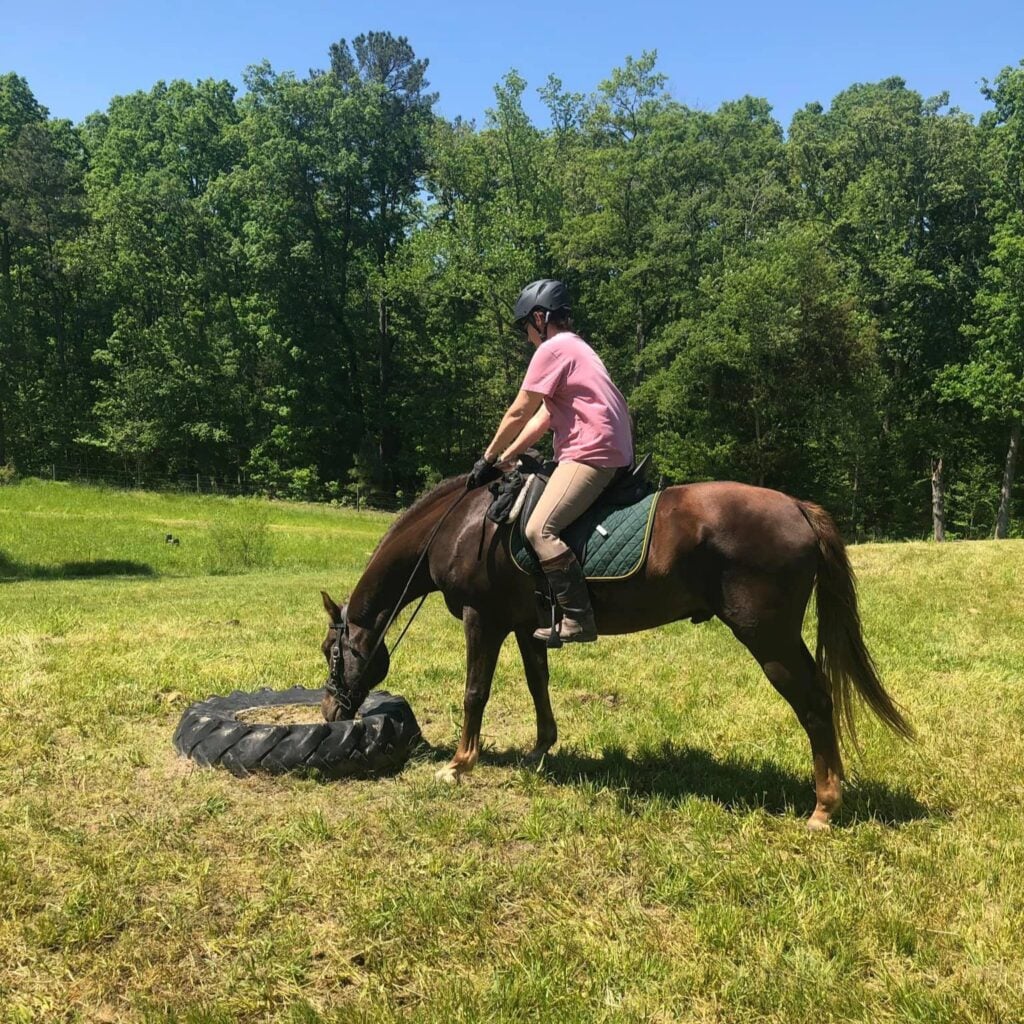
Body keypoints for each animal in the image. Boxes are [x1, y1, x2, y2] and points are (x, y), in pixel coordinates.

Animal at [319, 474, 913, 831]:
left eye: (331, 651)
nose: (328, 713)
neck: (464, 526)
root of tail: (797, 507)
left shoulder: (482, 619)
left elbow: (475, 692)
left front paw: (460, 764)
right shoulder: (527, 626)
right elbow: (538, 686)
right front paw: (540, 751)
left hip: (770, 638)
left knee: (814, 703)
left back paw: (823, 807)